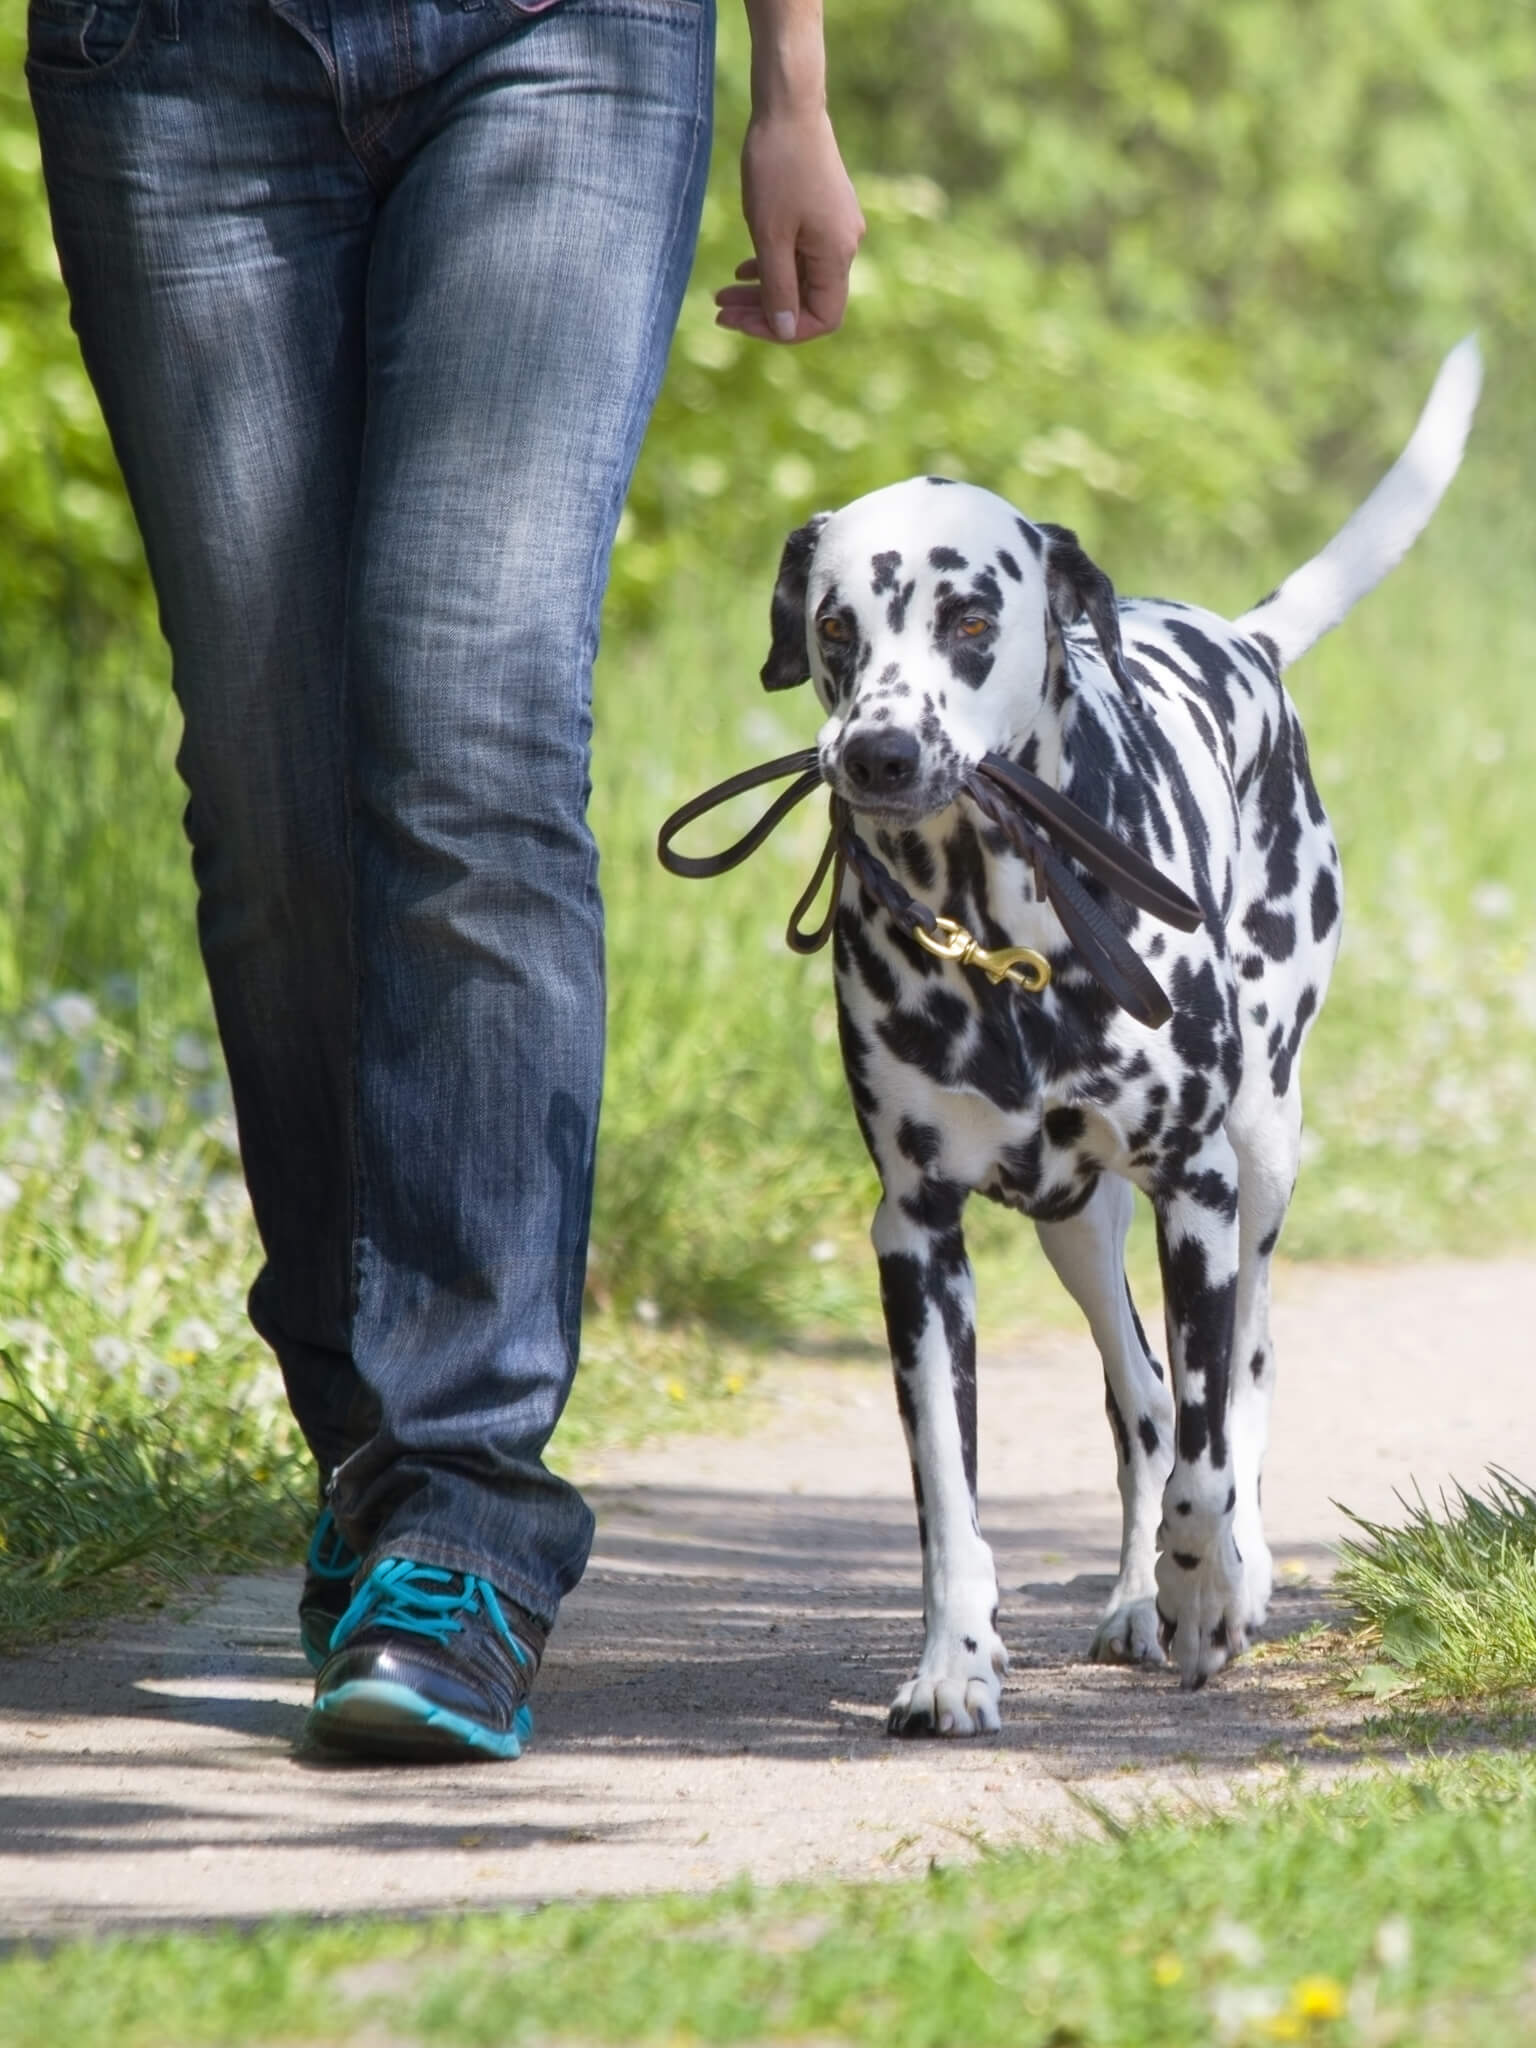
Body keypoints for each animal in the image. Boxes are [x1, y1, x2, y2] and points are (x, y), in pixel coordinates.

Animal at [765, 339, 1482, 1728]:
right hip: (1072, 1223)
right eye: (834, 626)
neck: (999, 934)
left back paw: (1222, 1571)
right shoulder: (915, 1237)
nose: (877, 753)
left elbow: (1210, 1447)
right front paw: (954, 1661)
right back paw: (1136, 1593)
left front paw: (1211, 1589)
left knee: (1238, 1382)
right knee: (1142, 1395)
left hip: (1261, 1158)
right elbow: (950, 1494)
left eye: (970, 620)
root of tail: (1238, 636)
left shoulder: (1194, 1191)